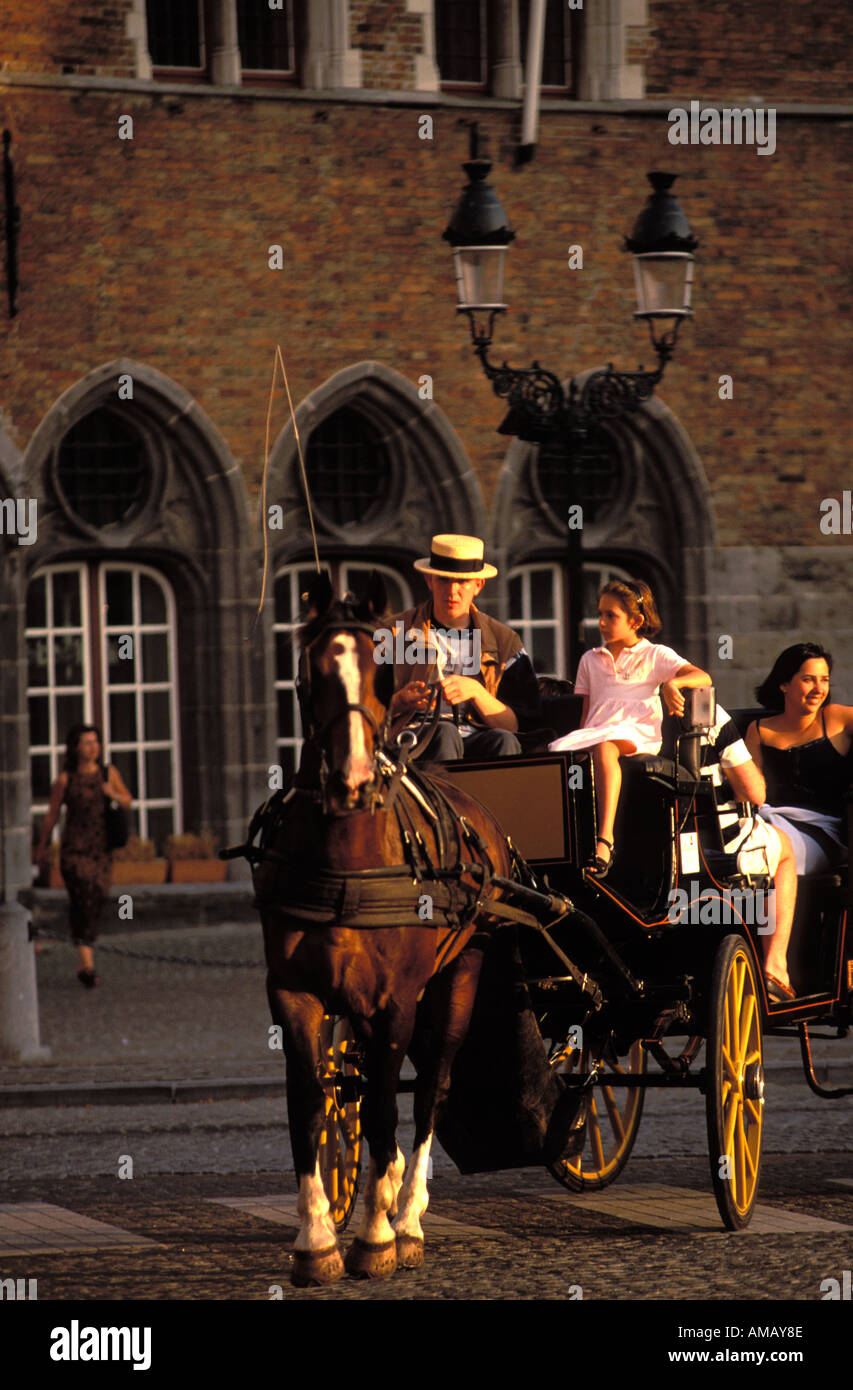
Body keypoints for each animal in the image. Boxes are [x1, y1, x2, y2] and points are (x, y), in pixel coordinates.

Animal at [254, 569, 522, 1284]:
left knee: (430, 1086)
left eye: (382, 673)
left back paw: (407, 1216)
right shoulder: (294, 993)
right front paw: (317, 1238)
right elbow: (310, 1101)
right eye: (309, 671)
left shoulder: (396, 998)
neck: (349, 860)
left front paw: (376, 1236)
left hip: (460, 974)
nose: (351, 781)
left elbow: (382, 1103)